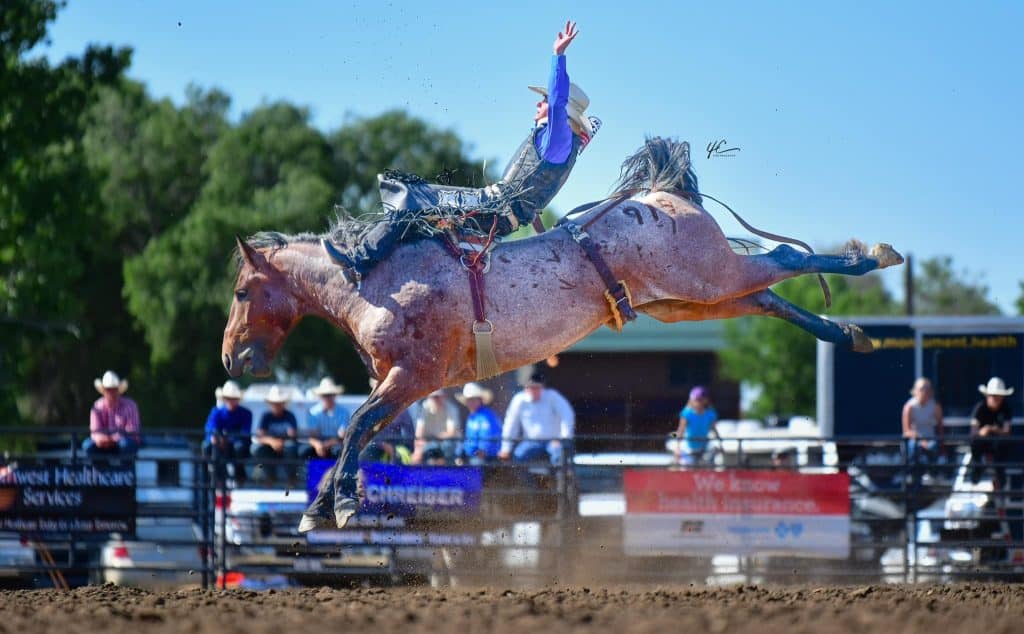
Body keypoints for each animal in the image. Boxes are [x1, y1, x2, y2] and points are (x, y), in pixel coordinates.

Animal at [220, 137, 901, 532]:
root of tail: (661, 195)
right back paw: (850, 332)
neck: (375, 280)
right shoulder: (406, 386)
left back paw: (874, 258)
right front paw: (321, 505)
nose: (231, 358)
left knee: (782, 260)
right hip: (691, 301)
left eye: (242, 292)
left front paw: (335, 506)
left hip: (709, 277)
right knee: (770, 299)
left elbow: (356, 425)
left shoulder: (412, 377)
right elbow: (356, 434)